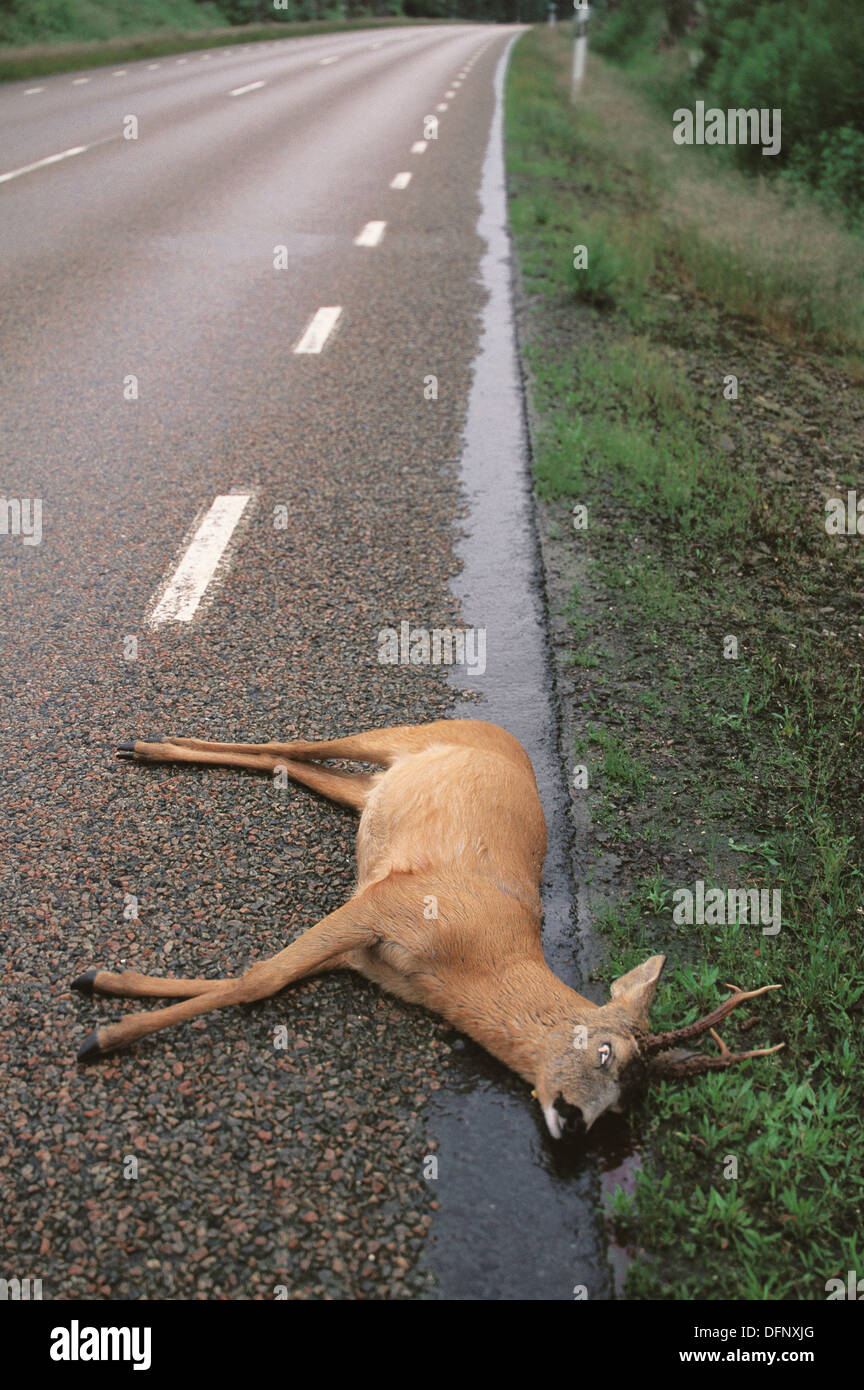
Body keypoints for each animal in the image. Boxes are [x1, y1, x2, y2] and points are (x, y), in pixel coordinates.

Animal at [72, 719, 784, 1139]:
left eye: (623, 1108)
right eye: (605, 1052)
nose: (575, 1120)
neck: (467, 968)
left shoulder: (368, 953)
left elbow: (262, 977)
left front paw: (104, 982)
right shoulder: (391, 902)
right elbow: (260, 980)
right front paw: (102, 1037)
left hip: (370, 793)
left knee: (304, 768)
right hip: (403, 732)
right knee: (296, 743)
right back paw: (145, 745)